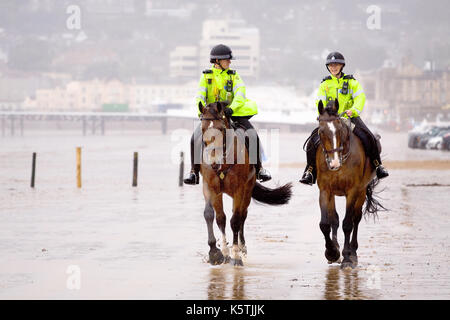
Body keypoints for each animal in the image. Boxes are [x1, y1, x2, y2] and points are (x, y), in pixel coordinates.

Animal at [198, 101, 292, 266]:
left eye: (221, 129)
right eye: (203, 129)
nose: (213, 163)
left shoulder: (239, 190)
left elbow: (235, 220)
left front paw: (236, 255)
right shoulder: (210, 187)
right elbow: (213, 216)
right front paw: (217, 253)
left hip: (247, 192)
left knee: (242, 216)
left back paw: (242, 249)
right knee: (225, 218)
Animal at [316, 99, 384, 268]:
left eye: (339, 130)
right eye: (321, 131)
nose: (334, 163)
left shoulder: (352, 191)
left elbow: (348, 223)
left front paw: (347, 257)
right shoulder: (325, 190)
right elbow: (326, 223)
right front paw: (332, 252)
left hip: (362, 191)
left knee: (356, 219)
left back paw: (353, 252)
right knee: (335, 218)